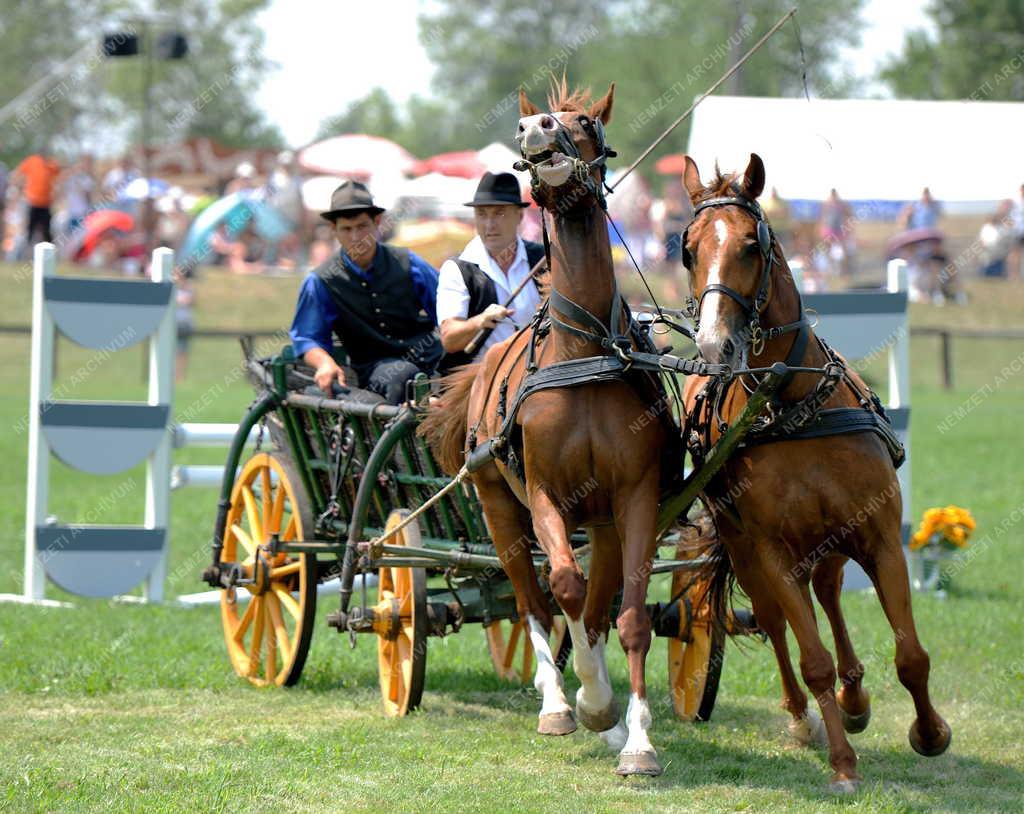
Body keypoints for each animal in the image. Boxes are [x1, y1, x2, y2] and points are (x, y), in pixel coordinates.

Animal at [419, 82, 667, 778]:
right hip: (499, 506)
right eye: (526, 122)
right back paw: (558, 700)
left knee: (598, 602)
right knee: (532, 598)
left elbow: (626, 615)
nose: (539, 128)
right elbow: (562, 588)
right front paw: (586, 701)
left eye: (586, 121)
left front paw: (633, 737)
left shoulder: (635, 497)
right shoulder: (544, 494)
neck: (579, 352)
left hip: (601, 523)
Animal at [679, 152, 950, 794]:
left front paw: (930, 733)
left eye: (751, 244)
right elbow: (812, 659)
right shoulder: (772, 551)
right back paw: (807, 719)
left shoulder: (881, 537)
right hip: (750, 550)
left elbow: (911, 655)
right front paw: (843, 764)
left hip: (830, 542)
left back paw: (855, 701)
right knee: (777, 621)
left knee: (826, 594)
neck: (792, 403)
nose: (715, 345)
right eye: (688, 249)